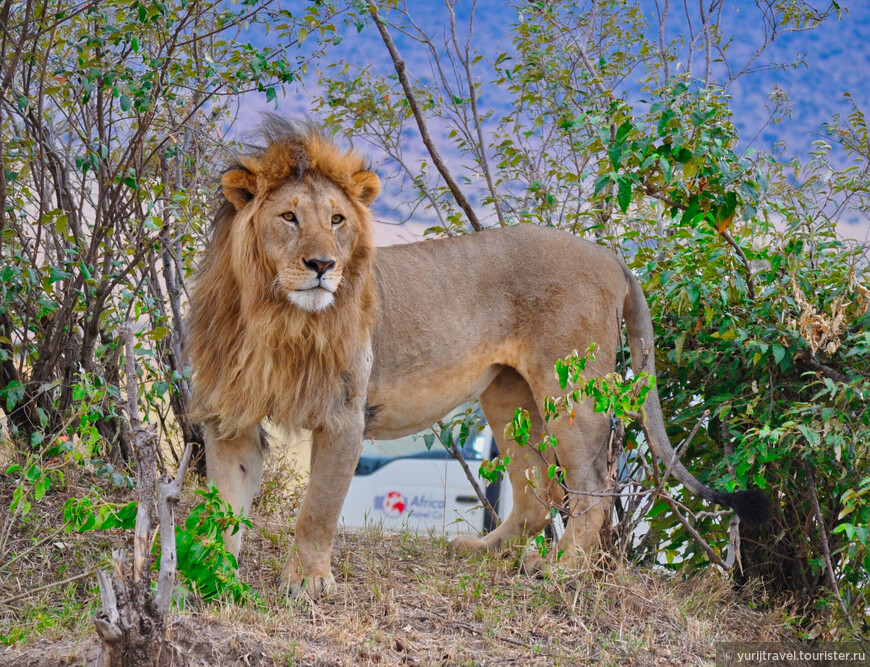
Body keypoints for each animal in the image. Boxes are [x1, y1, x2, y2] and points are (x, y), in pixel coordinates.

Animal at [189, 117, 768, 596]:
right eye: (288, 217)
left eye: (336, 220)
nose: (323, 265)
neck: (277, 316)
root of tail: (610, 255)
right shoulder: (230, 417)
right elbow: (225, 504)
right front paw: (211, 574)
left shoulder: (343, 415)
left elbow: (318, 508)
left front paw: (308, 582)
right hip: (507, 397)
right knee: (537, 494)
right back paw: (482, 552)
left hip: (571, 393)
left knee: (594, 487)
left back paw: (562, 570)